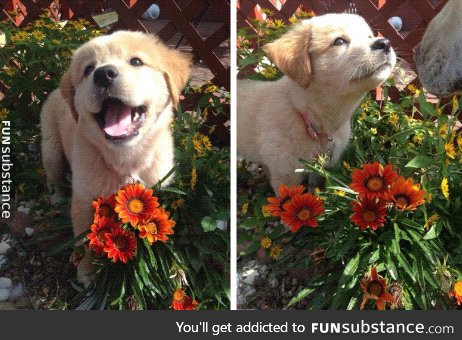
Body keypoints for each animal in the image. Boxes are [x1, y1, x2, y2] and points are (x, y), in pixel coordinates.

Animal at [40, 31, 190, 284]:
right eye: (89, 69)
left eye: (136, 62)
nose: (103, 74)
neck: (127, 159)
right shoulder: (83, 201)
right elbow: (86, 243)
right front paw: (87, 272)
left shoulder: (161, 187)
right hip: (51, 149)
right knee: (54, 177)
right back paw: (57, 197)